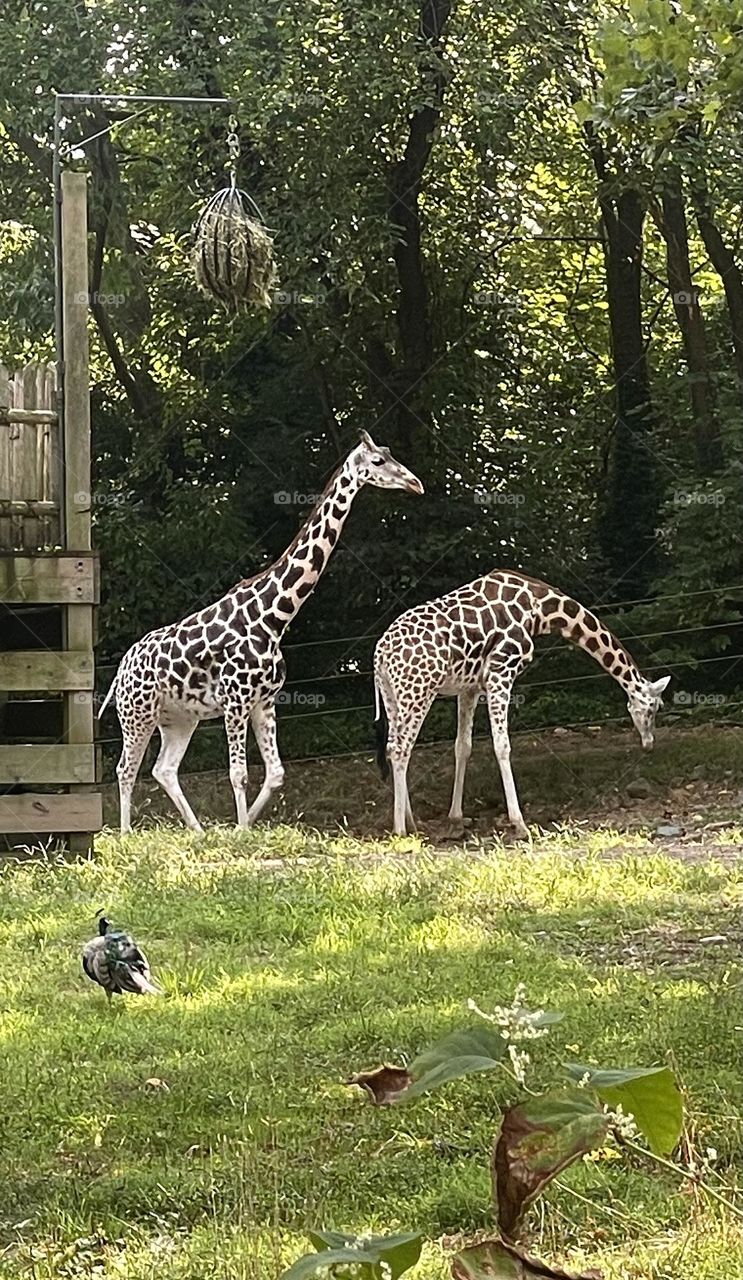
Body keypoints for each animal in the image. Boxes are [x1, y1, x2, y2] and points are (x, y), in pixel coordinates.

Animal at [100, 432, 423, 833]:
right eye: (378, 461)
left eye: (390, 454)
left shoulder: (264, 701)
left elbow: (276, 773)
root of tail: (120, 672)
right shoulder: (235, 701)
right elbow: (238, 773)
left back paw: (198, 831)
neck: (272, 617)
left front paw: (246, 823)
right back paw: (126, 832)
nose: (415, 483)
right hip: (137, 714)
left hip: (179, 719)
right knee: (125, 769)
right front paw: (241, 830)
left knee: (164, 769)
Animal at [373, 570, 670, 837]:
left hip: (393, 695)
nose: (649, 744)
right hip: (419, 690)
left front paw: (456, 820)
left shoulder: (469, 687)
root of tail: (380, 654)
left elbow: (463, 747)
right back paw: (400, 830)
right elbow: (502, 745)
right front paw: (519, 824)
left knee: (392, 747)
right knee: (400, 749)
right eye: (654, 709)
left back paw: (412, 822)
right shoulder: (501, 670)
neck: (540, 609)